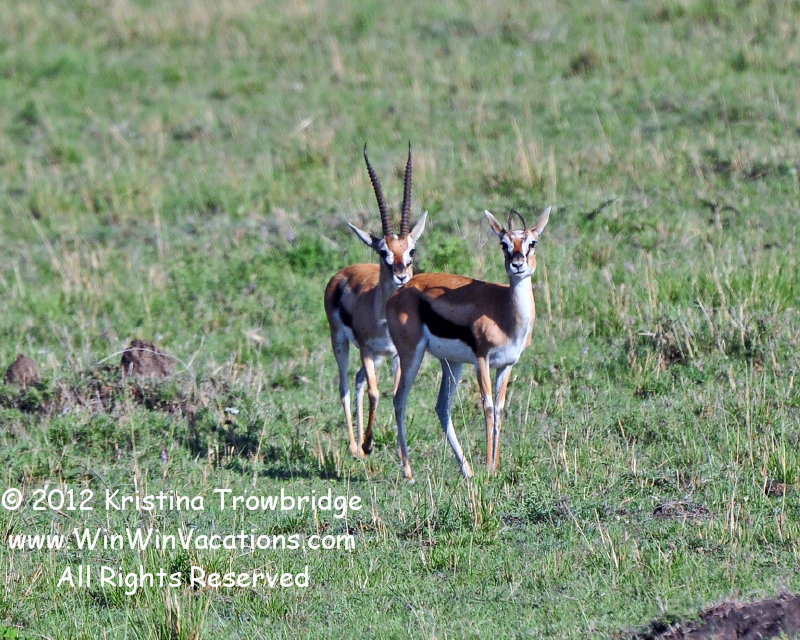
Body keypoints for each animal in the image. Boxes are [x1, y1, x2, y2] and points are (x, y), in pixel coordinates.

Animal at [324, 144, 427, 459]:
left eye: (411, 250)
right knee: (346, 387)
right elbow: (374, 392)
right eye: (383, 251)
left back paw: (358, 445)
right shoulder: (367, 351)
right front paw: (368, 443)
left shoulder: (394, 355)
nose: (401, 275)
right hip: (341, 344)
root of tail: (341, 274)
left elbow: (392, 394)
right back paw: (355, 446)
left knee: (358, 381)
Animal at [386, 206, 551, 480]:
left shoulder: (506, 365)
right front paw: (489, 468)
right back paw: (409, 472)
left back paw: (467, 470)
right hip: (411, 355)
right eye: (504, 244)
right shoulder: (482, 360)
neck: (505, 312)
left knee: (442, 407)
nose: (517, 265)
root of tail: (400, 291)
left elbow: (500, 409)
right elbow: (488, 407)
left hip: (452, 364)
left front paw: (496, 466)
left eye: (532, 242)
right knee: (400, 400)